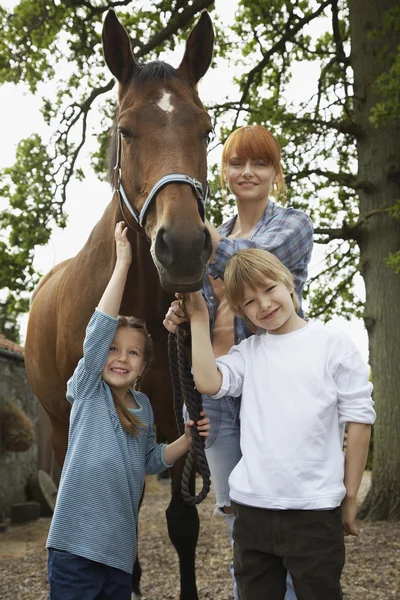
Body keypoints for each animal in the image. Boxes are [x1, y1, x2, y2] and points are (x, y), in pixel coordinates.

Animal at [23, 10, 214, 600]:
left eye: (206, 129)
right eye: (126, 131)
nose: (183, 246)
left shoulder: (177, 422)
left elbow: (182, 522)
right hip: (59, 424)